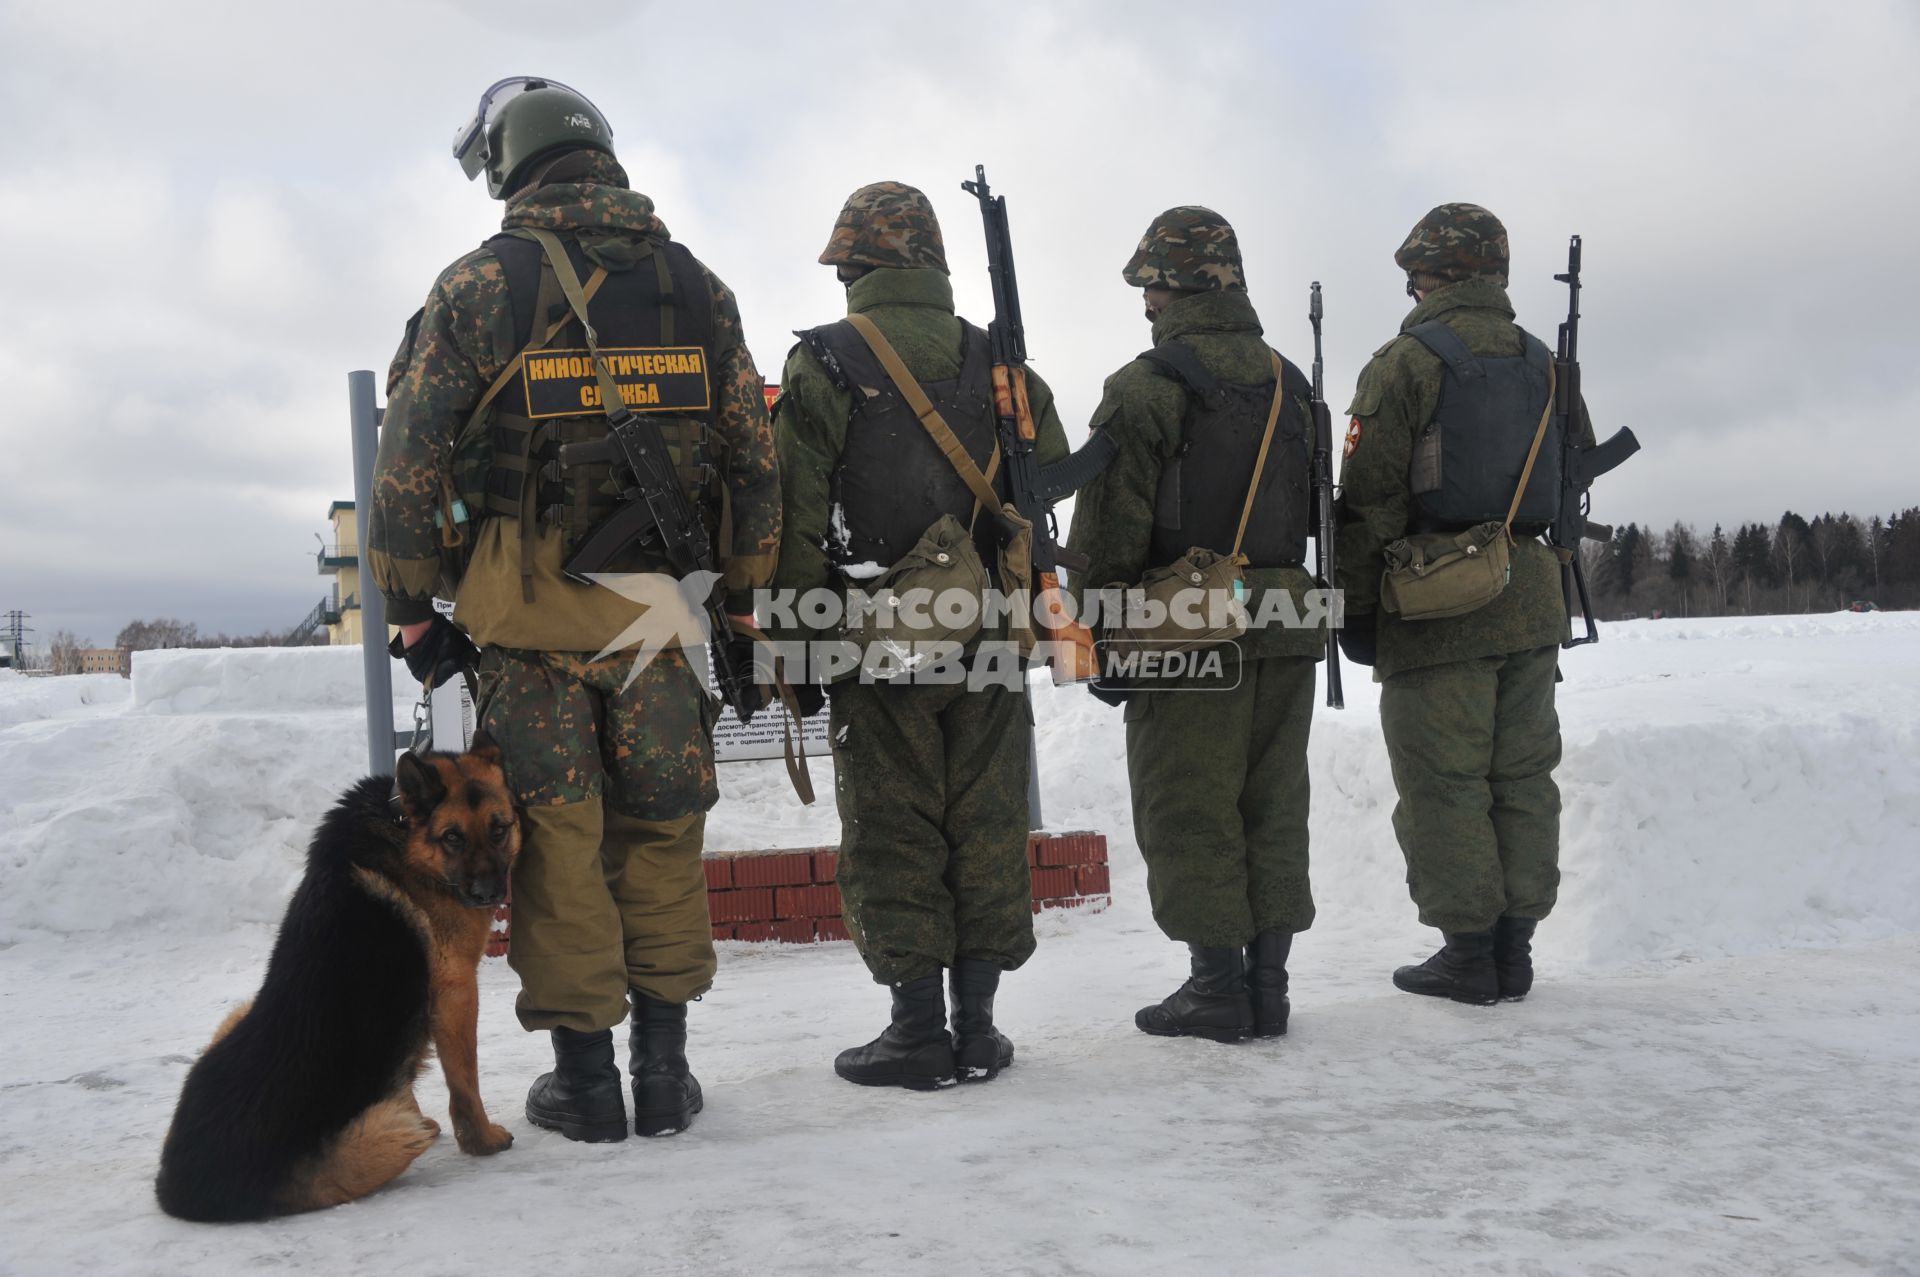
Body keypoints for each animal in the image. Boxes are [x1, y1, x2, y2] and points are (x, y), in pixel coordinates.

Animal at [157, 733, 522, 1221]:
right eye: (452, 837)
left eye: (499, 829)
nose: (487, 895)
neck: (406, 832)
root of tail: (180, 1190)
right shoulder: (457, 992)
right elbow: (465, 1082)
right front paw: (482, 1141)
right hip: (389, 1140)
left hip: (236, 1015)